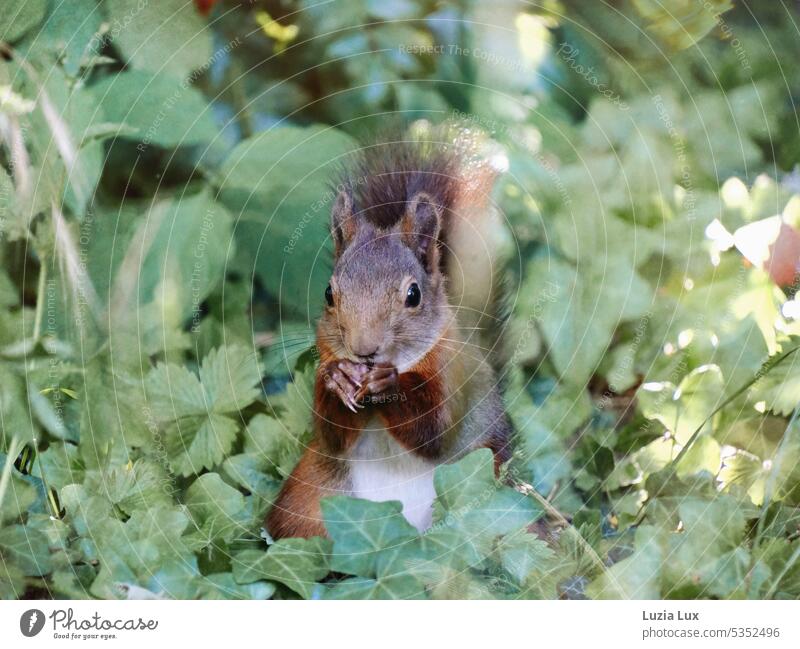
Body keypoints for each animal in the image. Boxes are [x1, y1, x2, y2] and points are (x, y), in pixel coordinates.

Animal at [266, 132, 510, 536]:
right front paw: (338, 378)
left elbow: (434, 430)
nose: (364, 350)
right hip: (307, 499)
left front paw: (388, 382)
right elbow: (331, 433)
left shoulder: (453, 370)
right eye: (329, 293)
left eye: (413, 295)